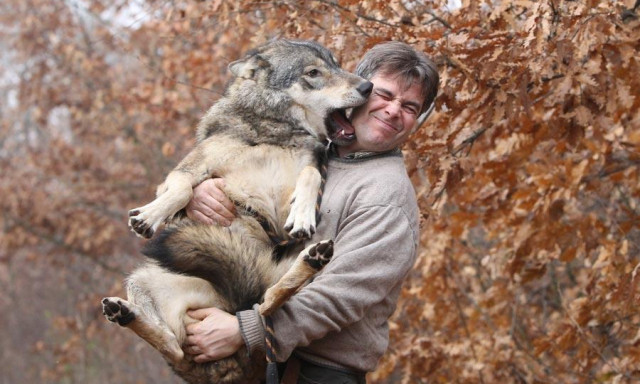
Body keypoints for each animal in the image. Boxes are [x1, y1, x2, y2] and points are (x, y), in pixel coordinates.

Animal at [99, 39, 370, 384]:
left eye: (336, 65)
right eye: (313, 72)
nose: (368, 87)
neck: (273, 132)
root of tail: (230, 304)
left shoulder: (300, 179)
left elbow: (310, 176)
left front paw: (303, 215)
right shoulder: (187, 170)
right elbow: (182, 190)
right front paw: (149, 216)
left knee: (265, 307)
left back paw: (312, 259)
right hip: (141, 282)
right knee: (176, 345)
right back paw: (123, 313)